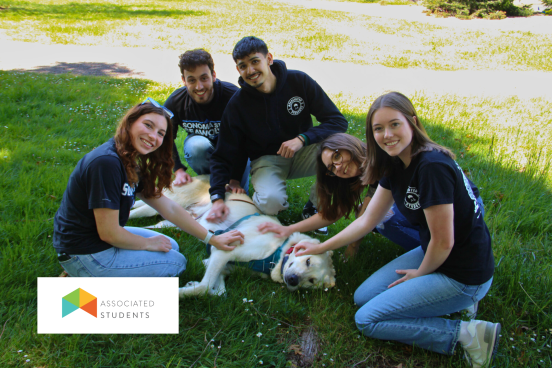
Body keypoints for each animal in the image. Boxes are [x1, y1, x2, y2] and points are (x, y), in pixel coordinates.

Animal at [129, 175, 336, 296]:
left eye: (312, 281)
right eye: (308, 261)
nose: (293, 280)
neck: (276, 254)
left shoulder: (222, 264)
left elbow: (217, 290)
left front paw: (192, 284)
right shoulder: (223, 251)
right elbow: (204, 288)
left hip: (172, 221)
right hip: (165, 204)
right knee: (132, 212)